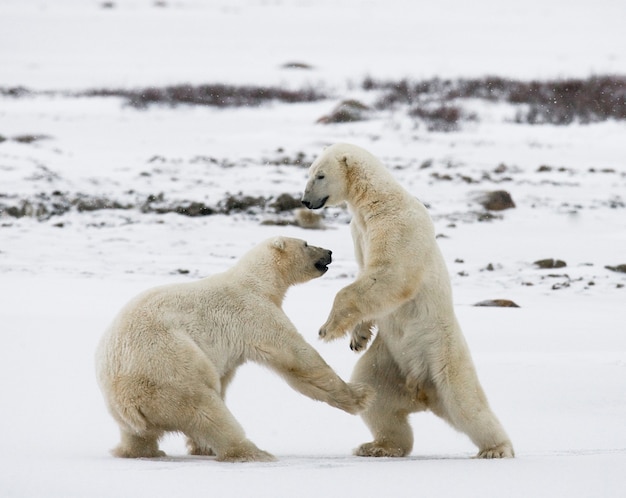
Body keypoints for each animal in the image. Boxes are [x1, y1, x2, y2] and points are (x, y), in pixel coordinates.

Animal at [95, 237, 372, 462]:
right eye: (306, 244)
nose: (329, 252)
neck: (257, 280)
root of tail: (127, 401)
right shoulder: (253, 312)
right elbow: (296, 357)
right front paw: (359, 395)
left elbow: (226, 375)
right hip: (167, 369)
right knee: (208, 410)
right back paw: (253, 452)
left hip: (129, 406)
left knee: (137, 435)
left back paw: (144, 451)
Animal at [302, 142, 512, 458]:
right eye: (311, 172)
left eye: (320, 175)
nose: (305, 201)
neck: (375, 200)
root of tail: (421, 391)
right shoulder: (358, 230)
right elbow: (368, 278)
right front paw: (357, 337)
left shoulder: (397, 225)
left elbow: (390, 275)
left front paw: (328, 329)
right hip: (388, 360)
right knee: (374, 394)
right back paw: (378, 446)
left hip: (442, 351)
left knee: (466, 403)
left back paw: (496, 448)